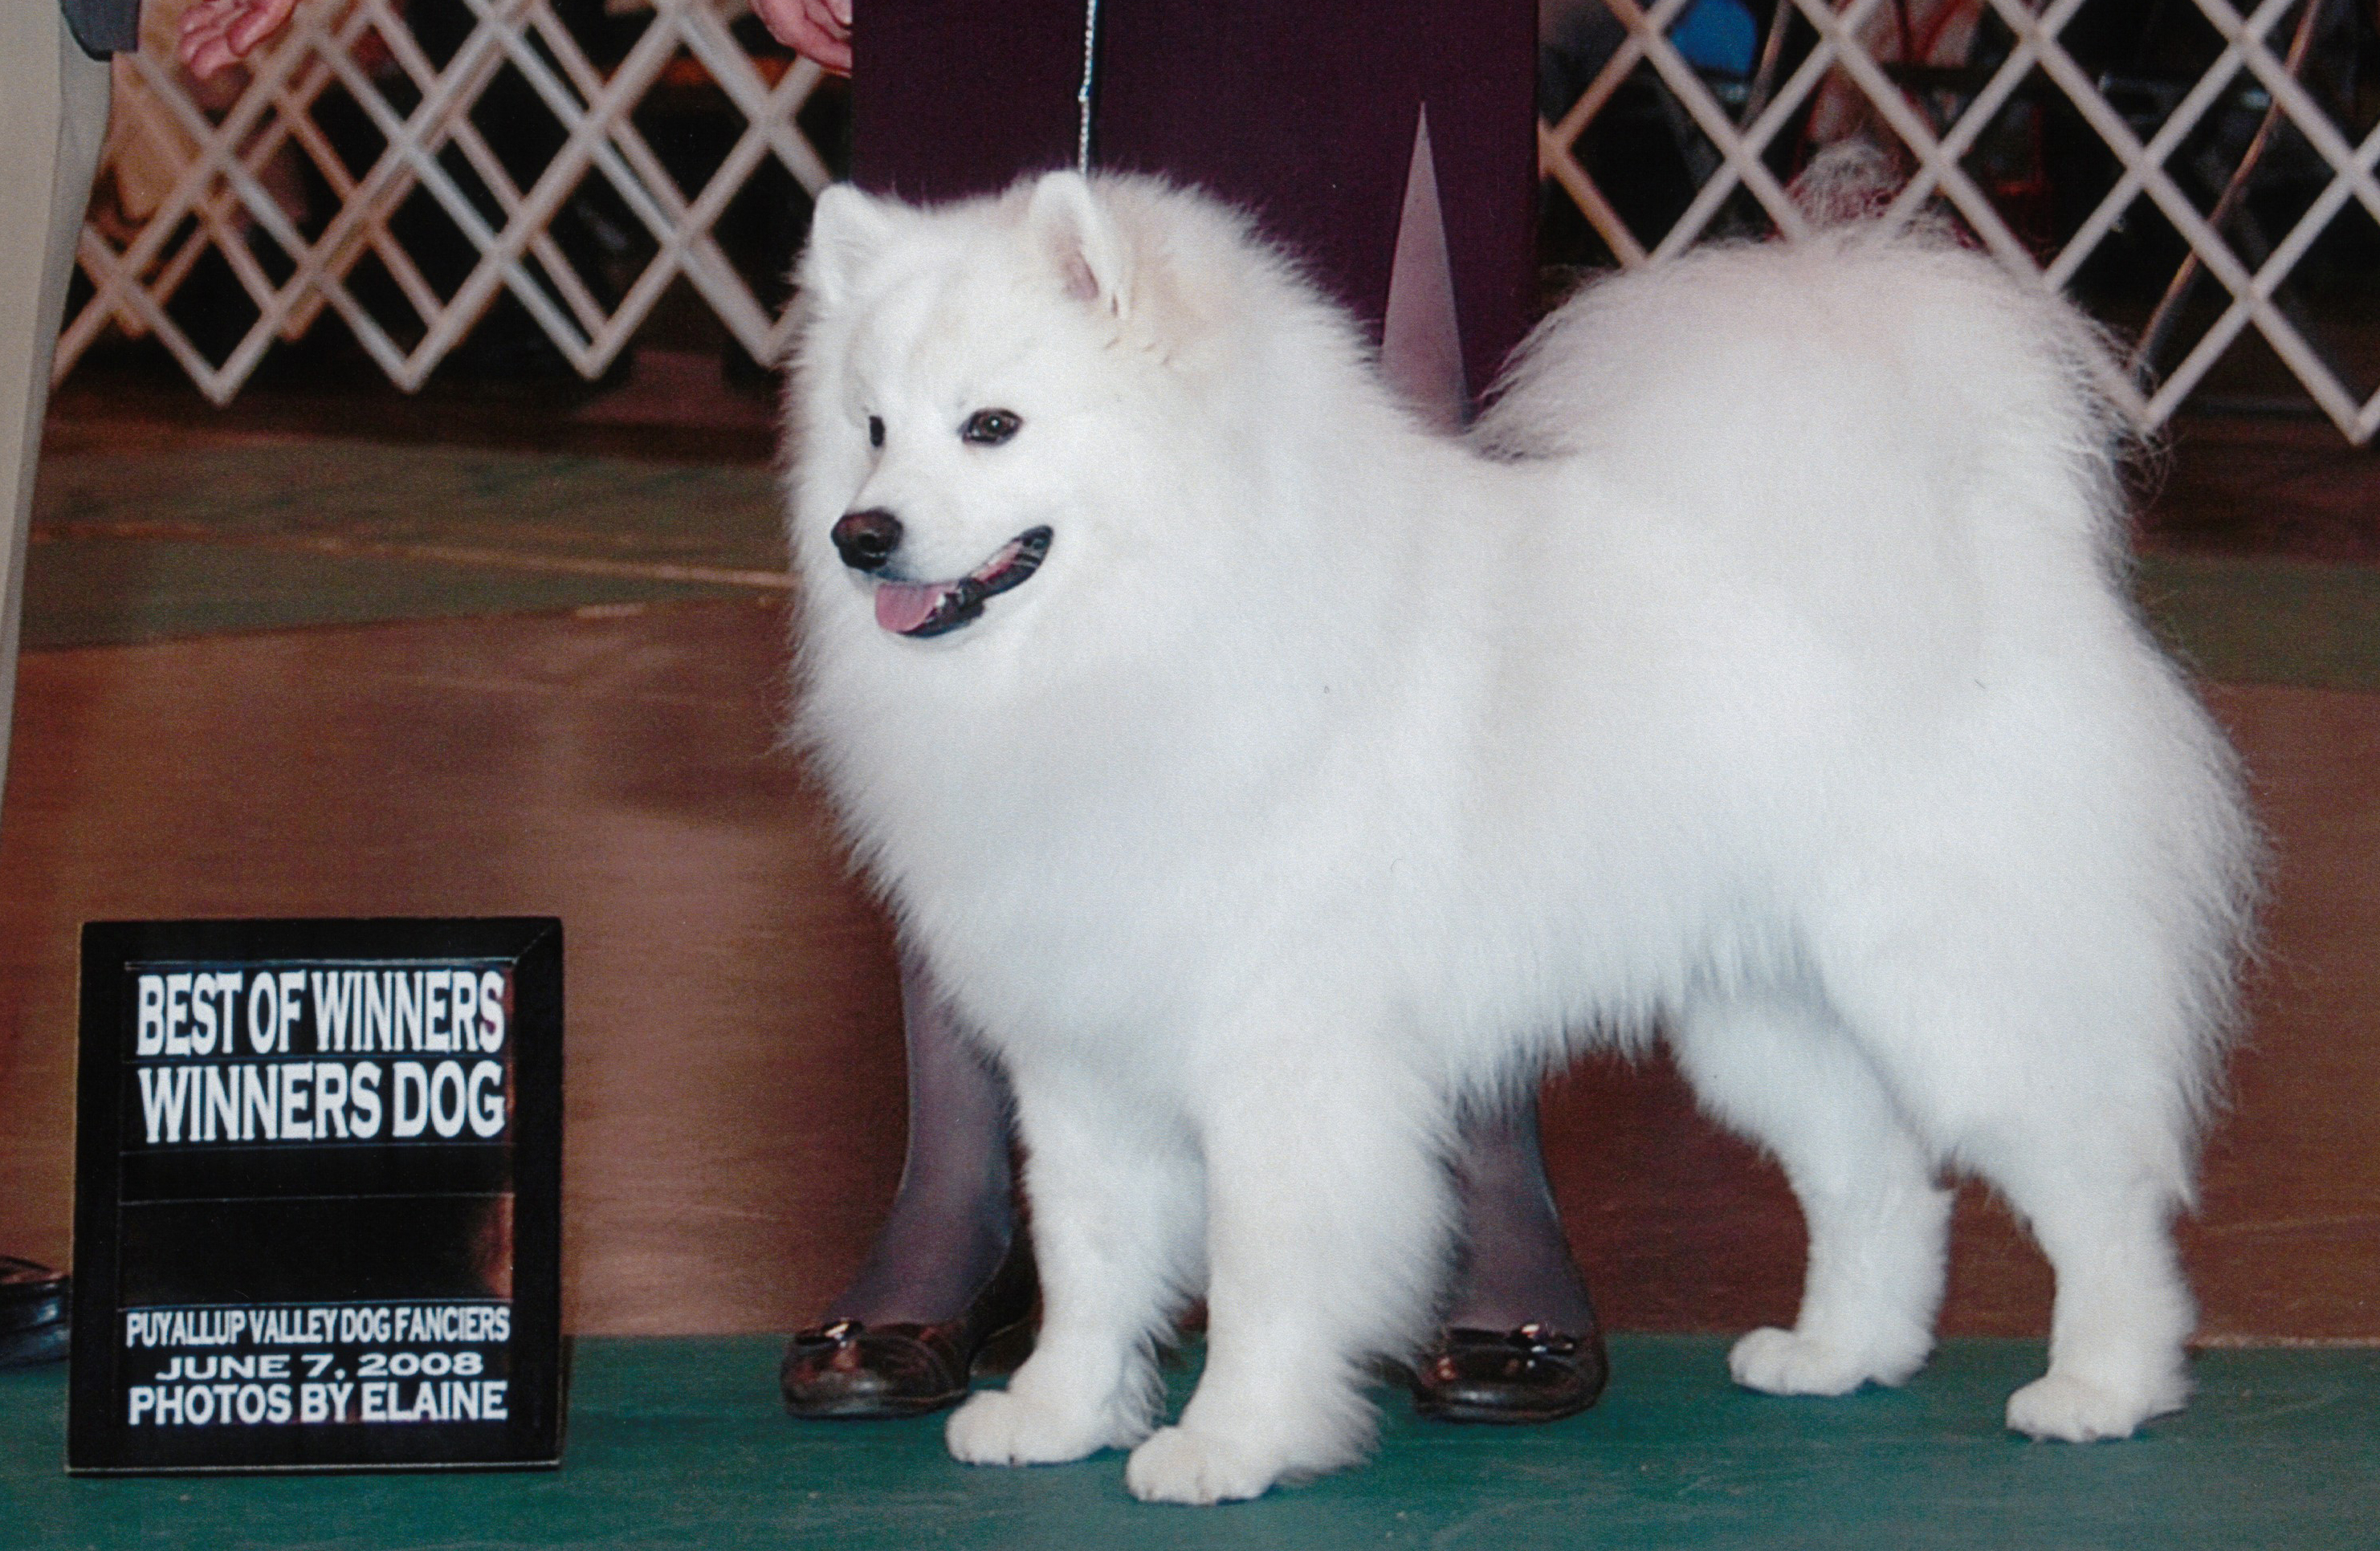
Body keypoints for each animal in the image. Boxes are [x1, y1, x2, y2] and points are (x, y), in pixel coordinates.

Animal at [781, 170, 2259, 1504]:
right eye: (872, 427)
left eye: (992, 426)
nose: (863, 534)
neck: (1154, 626)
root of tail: (1994, 530)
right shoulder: (1080, 1051)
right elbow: (1090, 1255)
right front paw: (1057, 1414)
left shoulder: (1282, 1058)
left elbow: (1262, 1268)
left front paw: (1230, 1443)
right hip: (1768, 1013)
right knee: (1877, 1177)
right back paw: (1837, 1354)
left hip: (1963, 995)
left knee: (2099, 1187)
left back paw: (2102, 1384)